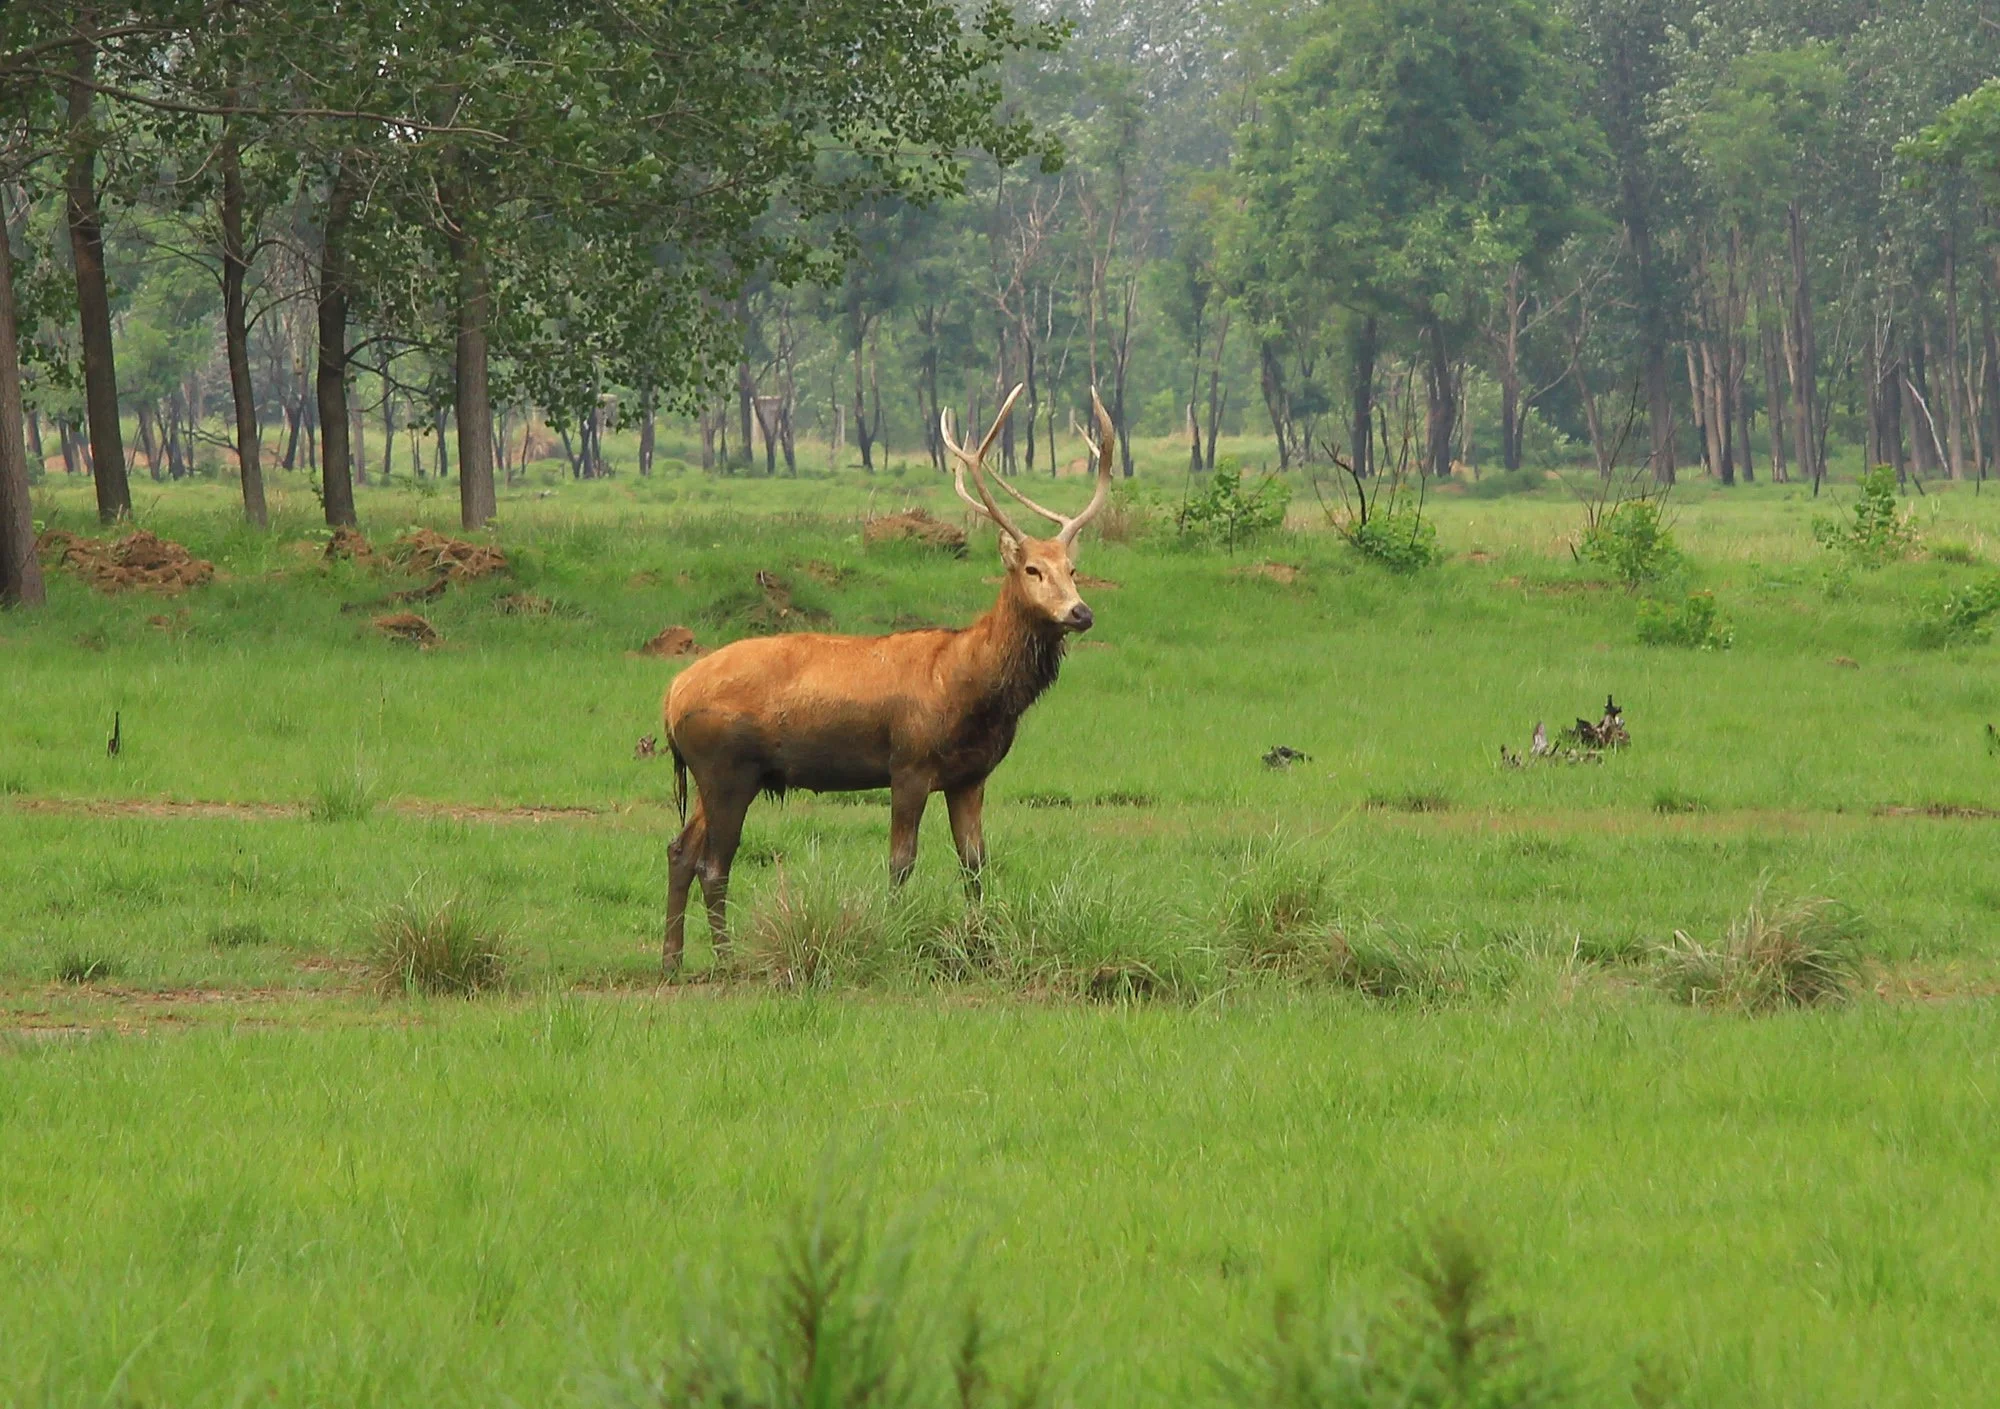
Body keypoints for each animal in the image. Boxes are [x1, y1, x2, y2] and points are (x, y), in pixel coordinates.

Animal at [659, 383, 1116, 973]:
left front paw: (981, 942)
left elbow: (975, 862)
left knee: (679, 850)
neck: (969, 686)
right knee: (714, 864)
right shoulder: (910, 762)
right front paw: (895, 937)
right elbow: (901, 860)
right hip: (725, 766)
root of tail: (670, 697)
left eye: (1072, 569)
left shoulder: (971, 776)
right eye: (1032, 569)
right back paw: (727, 959)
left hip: (715, 773)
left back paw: (672, 959)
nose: (1081, 612)